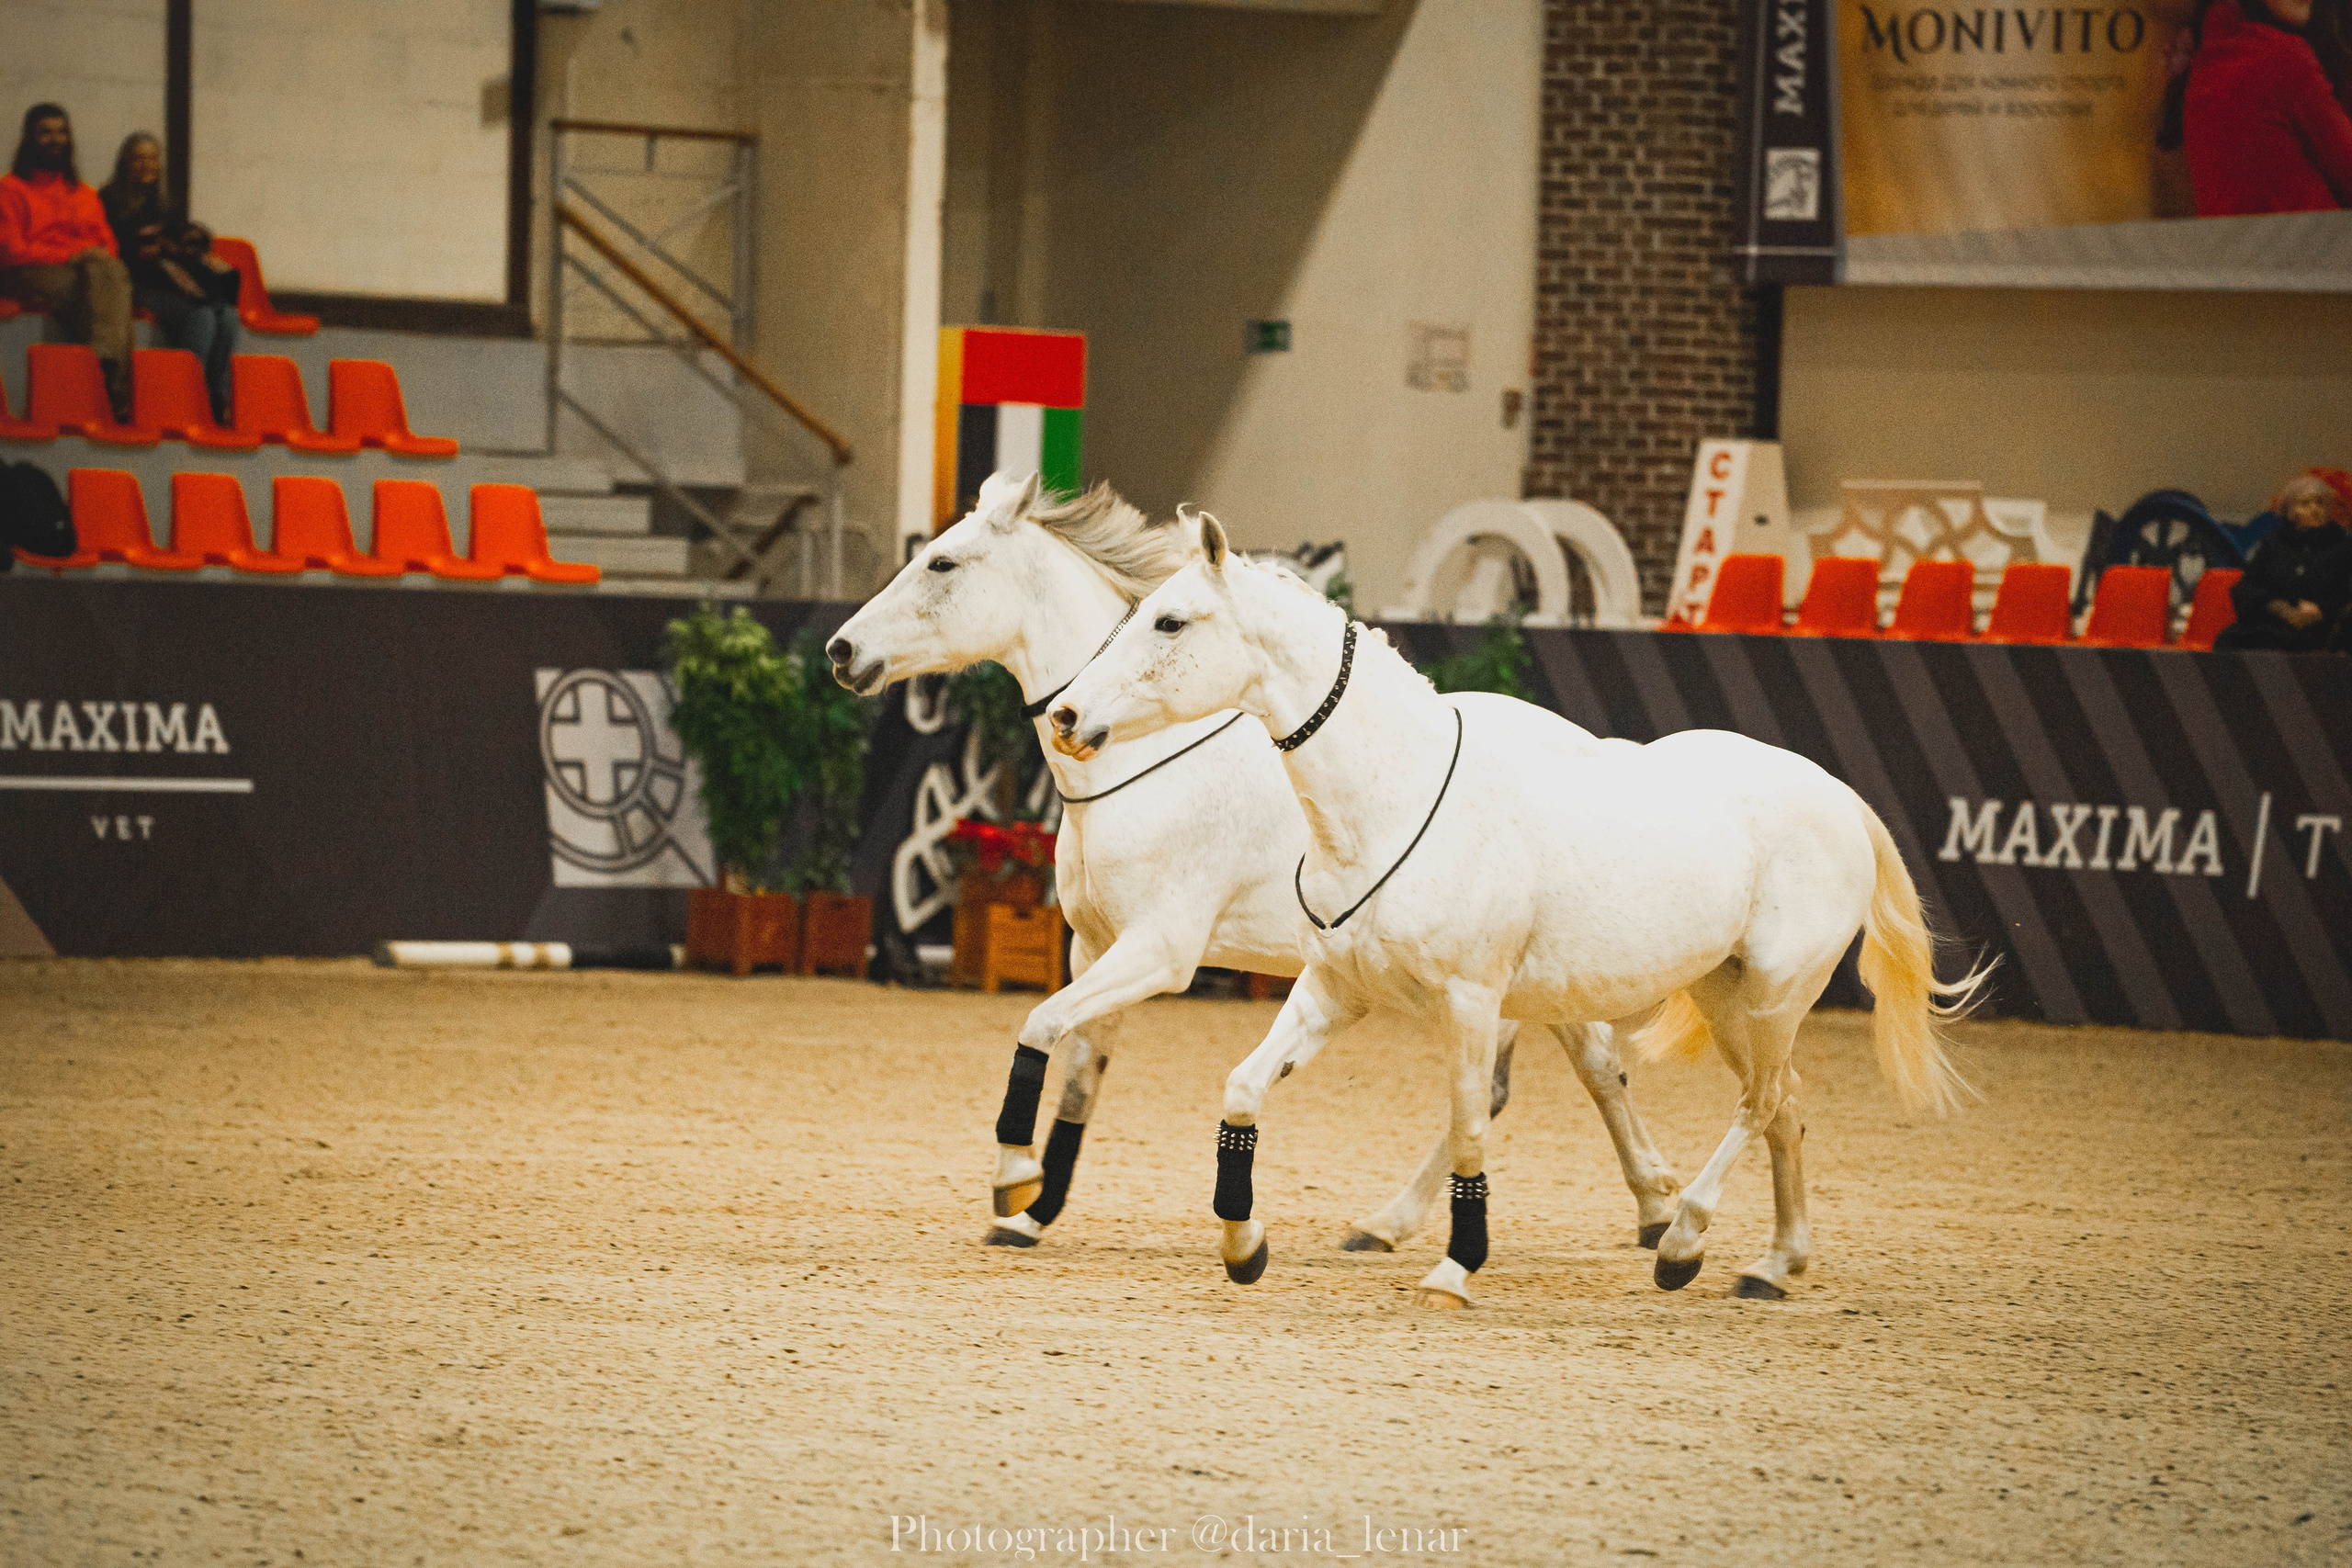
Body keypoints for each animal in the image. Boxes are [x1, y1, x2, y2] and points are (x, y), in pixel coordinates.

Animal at [827, 472, 1683, 1255]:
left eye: (941, 562)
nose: (842, 650)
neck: (1141, 761)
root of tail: (1592, 748)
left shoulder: (1159, 950)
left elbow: (1039, 1024)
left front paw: (1013, 1174)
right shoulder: (1096, 950)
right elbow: (1080, 1074)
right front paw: (1035, 1213)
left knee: (1537, 1081)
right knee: (1564, 1073)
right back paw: (1618, 1212)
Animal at [1048, 508, 1987, 1306]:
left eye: (1170, 622)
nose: (1064, 714)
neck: (1397, 798)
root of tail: (1838, 795)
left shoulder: (1470, 1001)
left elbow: (1469, 1125)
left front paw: (1457, 1266)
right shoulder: (1333, 990)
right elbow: (1244, 1089)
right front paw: (1245, 1245)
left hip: (1775, 993)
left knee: (1757, 1106)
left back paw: (1682, 1241)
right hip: (1726, 995)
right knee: (1783, 1106)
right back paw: (1773, 1263)